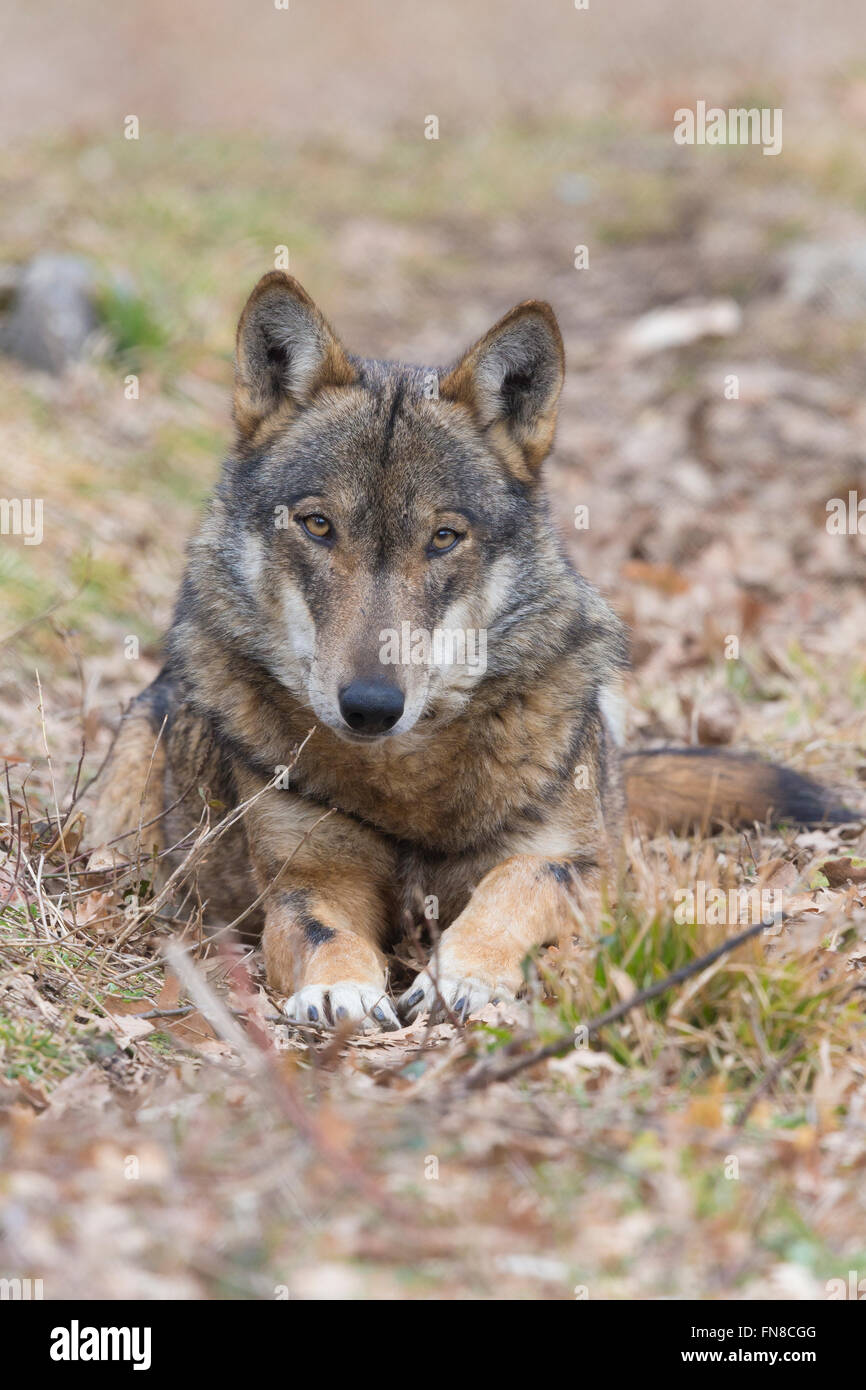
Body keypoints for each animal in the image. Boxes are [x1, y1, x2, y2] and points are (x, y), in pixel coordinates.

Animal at [81, 273, 856, 1034]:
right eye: (319, 525)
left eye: (444, 538)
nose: (370, 707)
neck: (405, 774)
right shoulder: (305, 882)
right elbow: (325, 933)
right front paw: (338, 990)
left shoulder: (578, 867)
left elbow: (514, 887)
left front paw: (466, 977)